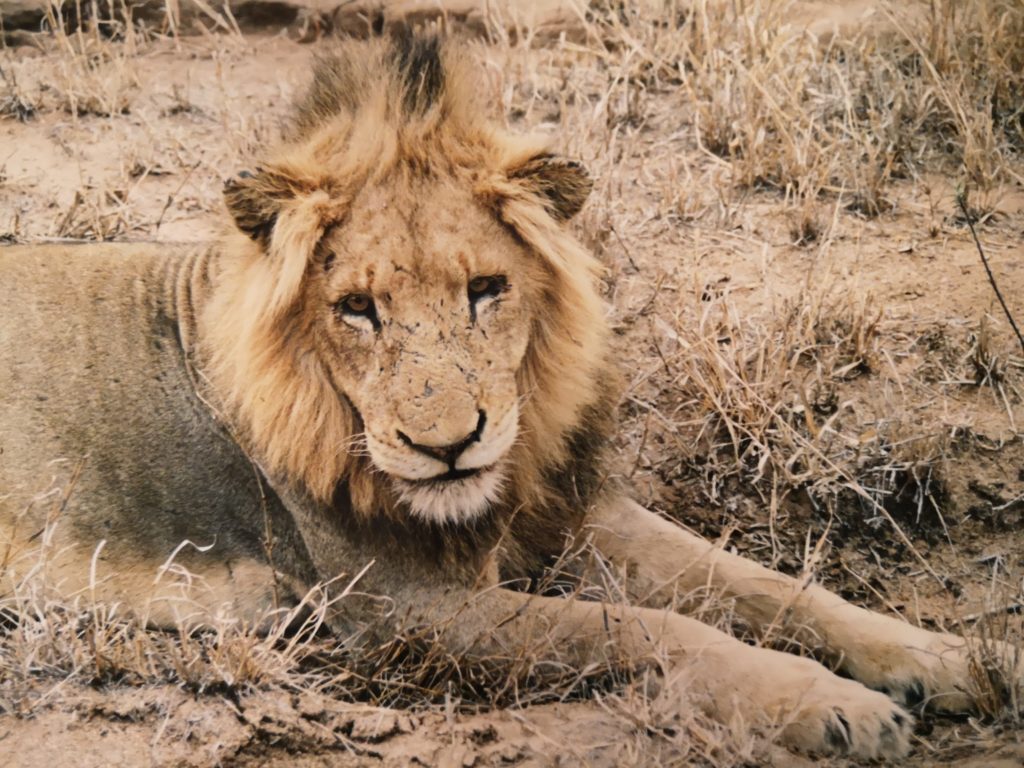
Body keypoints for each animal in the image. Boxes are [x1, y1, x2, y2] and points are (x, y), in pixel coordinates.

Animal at [0, 35, 1016, 759]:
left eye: (486, 289)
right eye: (356, 308)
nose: (448, 447)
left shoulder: (564, 508)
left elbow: (760, 582)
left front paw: (941, 657)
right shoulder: (403, 611)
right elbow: (642, 629)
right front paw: (833, 706)